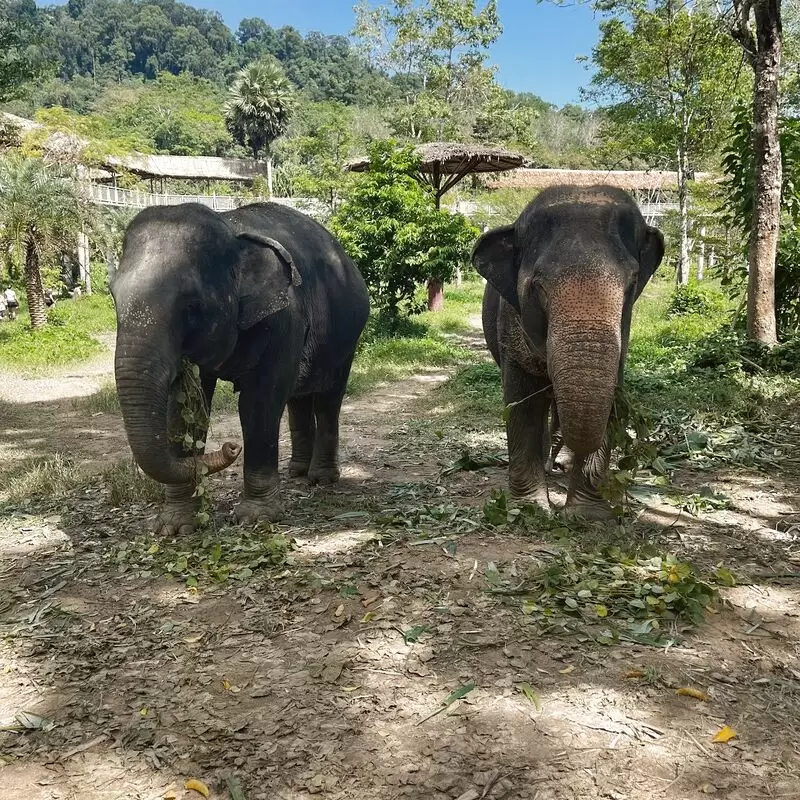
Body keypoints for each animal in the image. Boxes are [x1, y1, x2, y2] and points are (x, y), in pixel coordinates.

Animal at [111, 203, 370, 536]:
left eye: (192, 306)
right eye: (113, 297)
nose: (232, 447)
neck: (230, 229)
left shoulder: (284, 319)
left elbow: (259, 402)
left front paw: (255, 518)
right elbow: (182, 409)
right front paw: (175, 526)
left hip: (346, 339)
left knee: (327, 400)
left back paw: (321, 478)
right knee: (298, 397)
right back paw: (297, 472)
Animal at [472, 184, 664, 520]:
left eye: (632, 283)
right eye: (538, 286)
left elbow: (607, 398)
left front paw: (588, 515)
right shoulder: (509, 326)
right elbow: (521, 402)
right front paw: (530, 509)